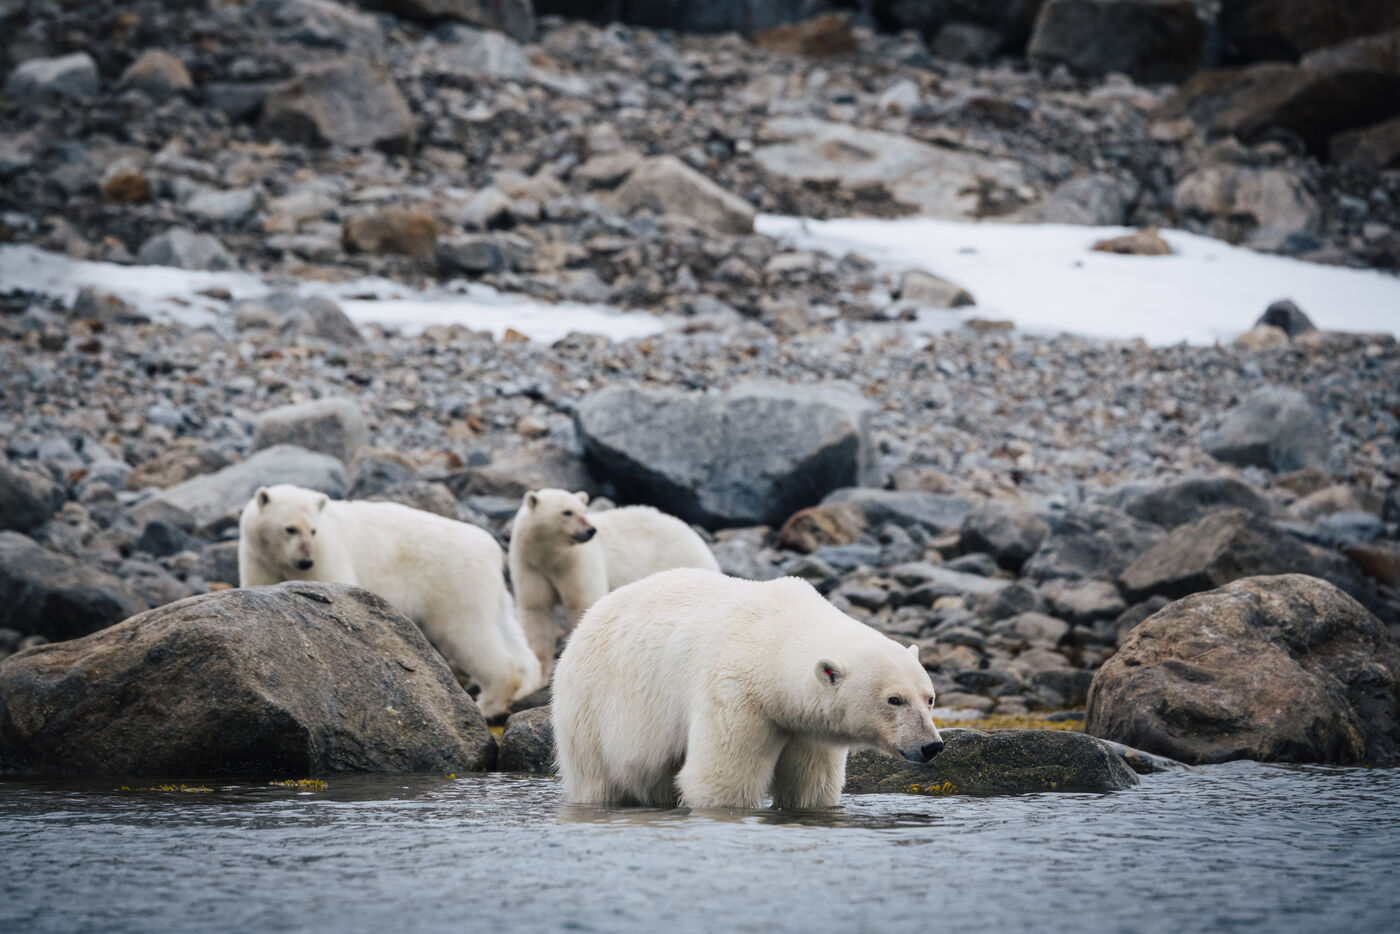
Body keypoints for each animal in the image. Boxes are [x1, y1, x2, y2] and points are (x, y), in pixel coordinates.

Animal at [238, 484, 542, 718]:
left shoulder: (327, 553)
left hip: (455, 583)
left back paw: (489, 704)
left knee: (468, 635)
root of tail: (493, 550)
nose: (304, 561)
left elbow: (333, 584)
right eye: (289, 529)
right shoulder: (258, 557)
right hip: (488, 591)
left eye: (313, 530)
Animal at [507, 488, 719, 677]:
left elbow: (582, 603)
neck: (550, 558)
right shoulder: (530, 567)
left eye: (584, 510)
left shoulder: (576, 564)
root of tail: (688, 529)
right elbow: (537, 610)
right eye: (566, 512)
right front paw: (540, 672)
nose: (590, 530)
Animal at [551, 568, 944, 809]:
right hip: (590, 707)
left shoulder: (807, 725)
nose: (931, 746)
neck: (774, 639)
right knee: (599, 778)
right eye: (894, 700)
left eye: (929, 698)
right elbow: (720, 779)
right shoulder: (734, 695)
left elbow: (811, 786)